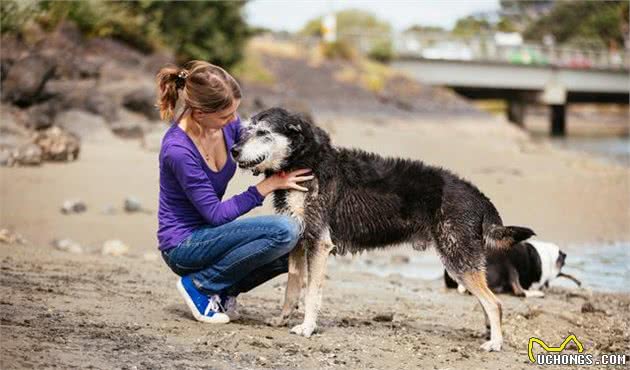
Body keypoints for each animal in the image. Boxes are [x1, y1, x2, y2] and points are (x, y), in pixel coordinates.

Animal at [233, 107, 540, 352]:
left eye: (263, 132)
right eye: (246, 129)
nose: (234, 150)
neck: (306, 161)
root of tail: (479, 197)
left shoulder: (319, 243)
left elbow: (311, 294)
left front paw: (308, 328)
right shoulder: (299, 241)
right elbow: (292, 288)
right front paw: (281, 319)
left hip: (457, 258)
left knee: (494, 303)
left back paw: (496, 343)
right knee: (487, 302)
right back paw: (489, 334)